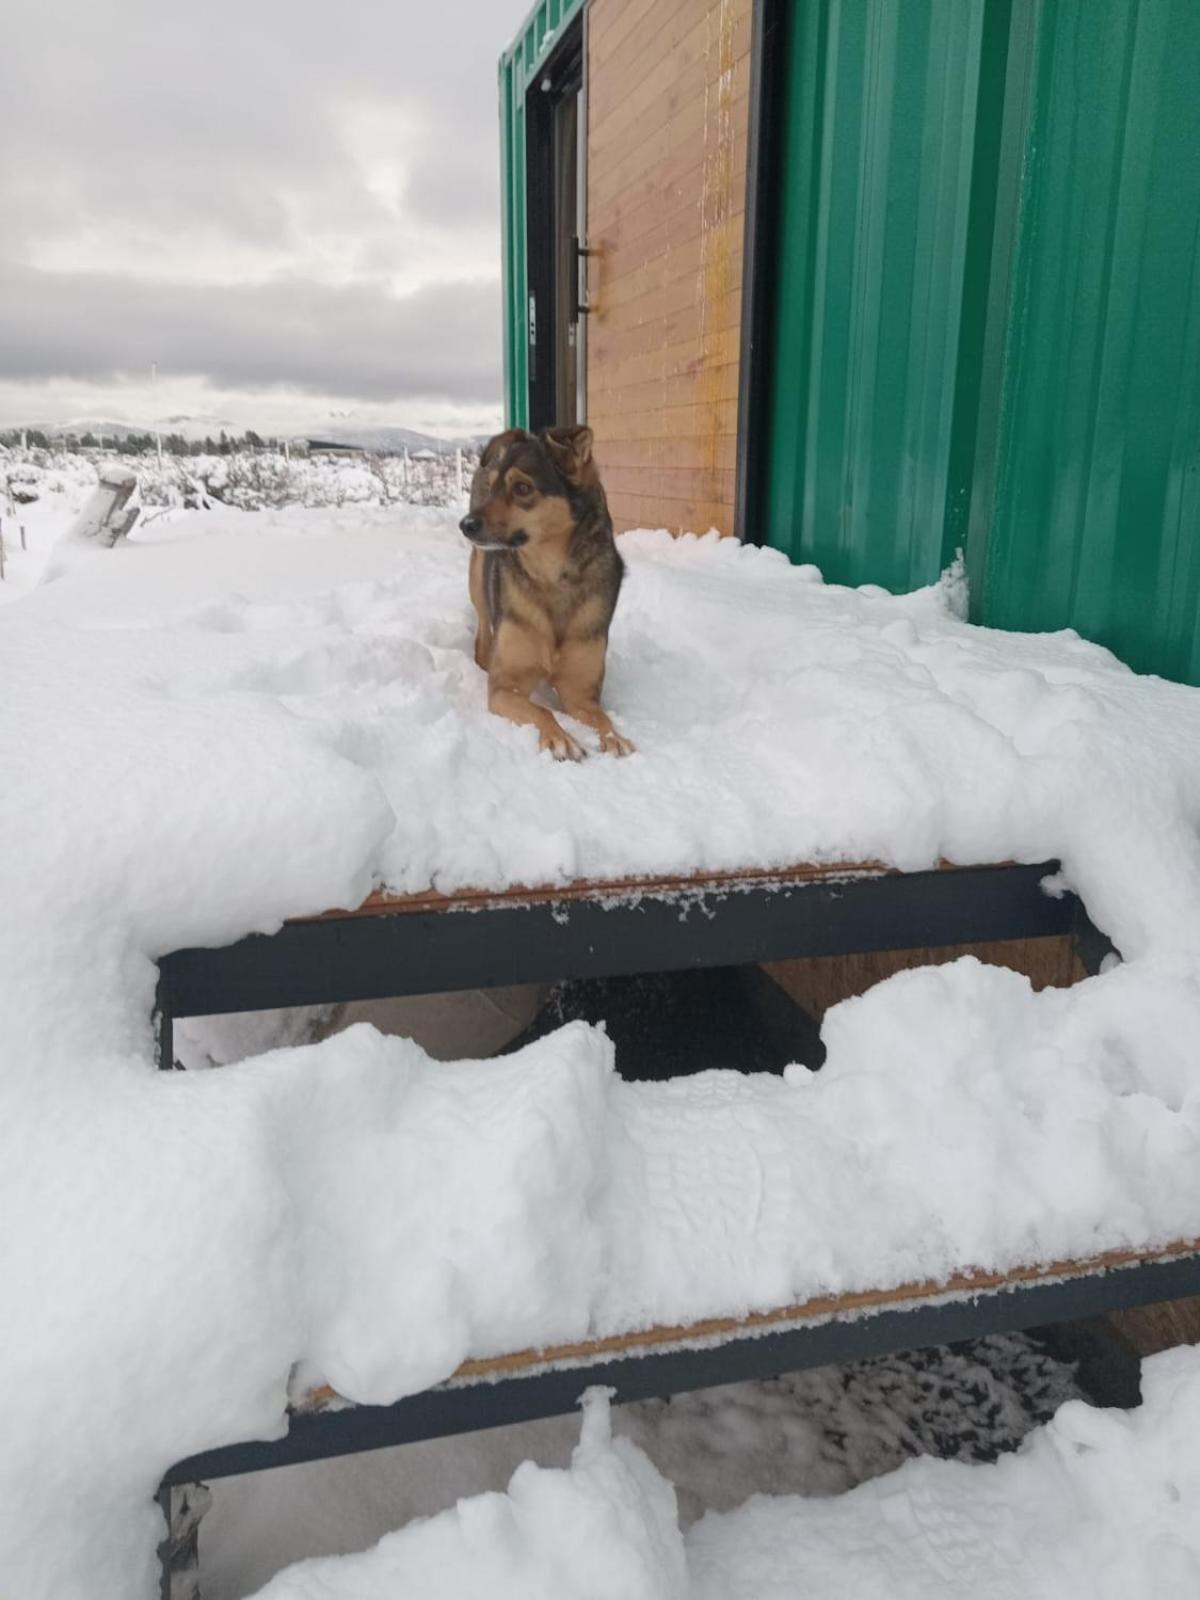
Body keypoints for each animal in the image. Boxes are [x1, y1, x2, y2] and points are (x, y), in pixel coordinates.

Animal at [460, 425, 633, 761]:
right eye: (494, 486)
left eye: (522, 488)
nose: (466, 524)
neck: (553, 576)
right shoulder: (505, 687)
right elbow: (543, 711)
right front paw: (559, 738)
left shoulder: (581, 693)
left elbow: (602, 717)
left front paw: (614, 737)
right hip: (478, 578)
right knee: (483, 629)